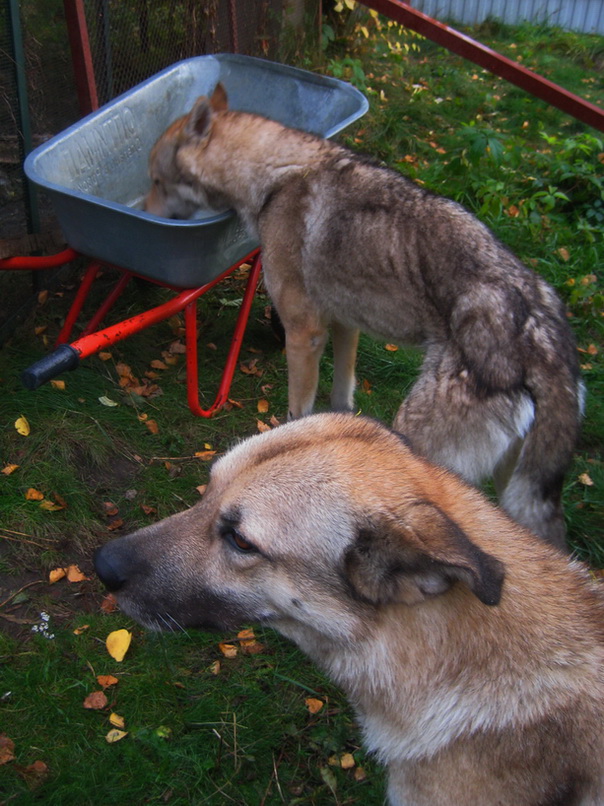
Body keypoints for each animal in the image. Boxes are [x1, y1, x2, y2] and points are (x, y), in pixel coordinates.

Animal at [144, 84, 583, 548]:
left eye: (156, 181)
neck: (276, 177)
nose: (146, 216)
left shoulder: (303, 332)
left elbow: (298, 412)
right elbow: (342, 397)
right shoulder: (345, 324)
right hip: (514, 487)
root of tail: (543, 337)